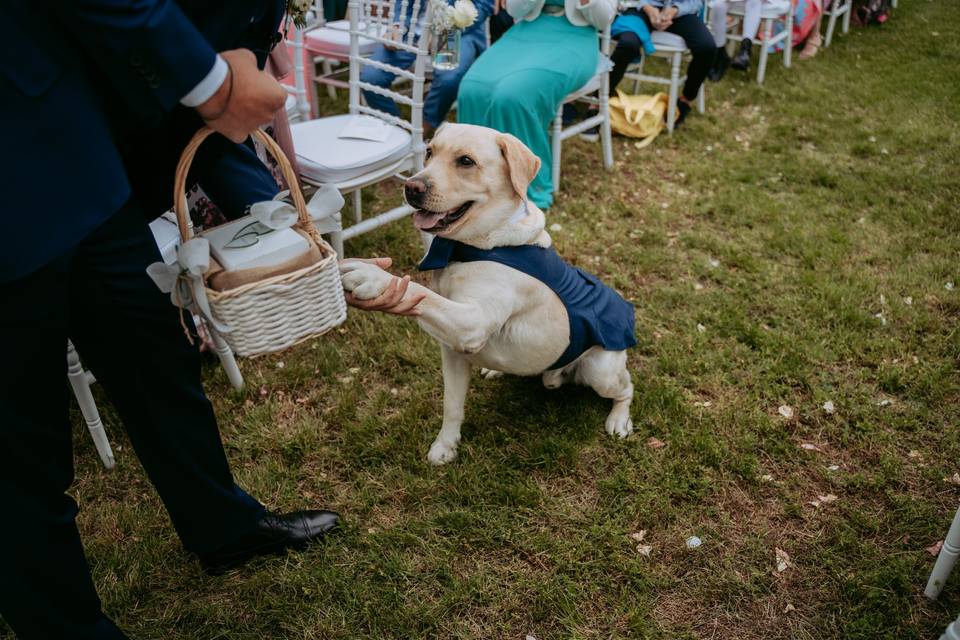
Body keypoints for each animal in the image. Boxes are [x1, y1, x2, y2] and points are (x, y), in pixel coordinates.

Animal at [342, 124, 632, 464]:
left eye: (466, 161)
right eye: (429, 152)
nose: (411, 188)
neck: (471, 247)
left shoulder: (472, 321)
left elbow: (421, 292)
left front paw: (373, 277)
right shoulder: (453, 350)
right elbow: (452, 405)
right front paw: (446, 446)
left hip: (602, 370)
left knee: (627, 389)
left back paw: (619, 419)